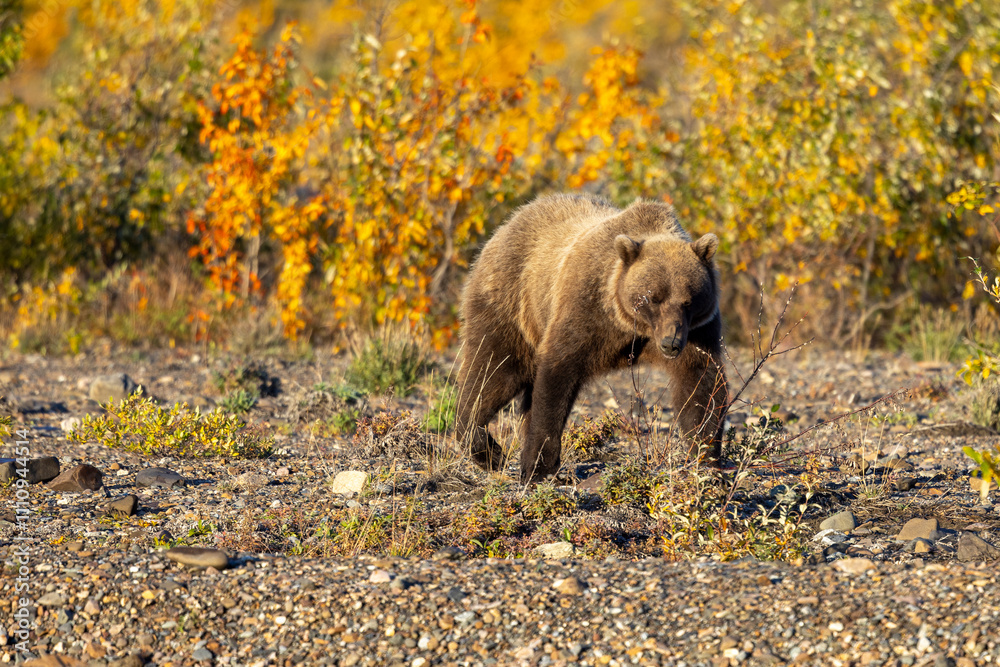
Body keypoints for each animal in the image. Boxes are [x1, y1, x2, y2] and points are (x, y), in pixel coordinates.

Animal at [454, 193, 728, 483]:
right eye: (653, 297)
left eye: (689, 300)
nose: (670, 343)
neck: (630, 324)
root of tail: (508, 223)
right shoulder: (587, 310)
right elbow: (557, 374)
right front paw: (538, 466)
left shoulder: (698, 330)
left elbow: (701, 384)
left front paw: (707, 459)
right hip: (513, 303)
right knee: (494, 369)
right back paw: (486, 449)